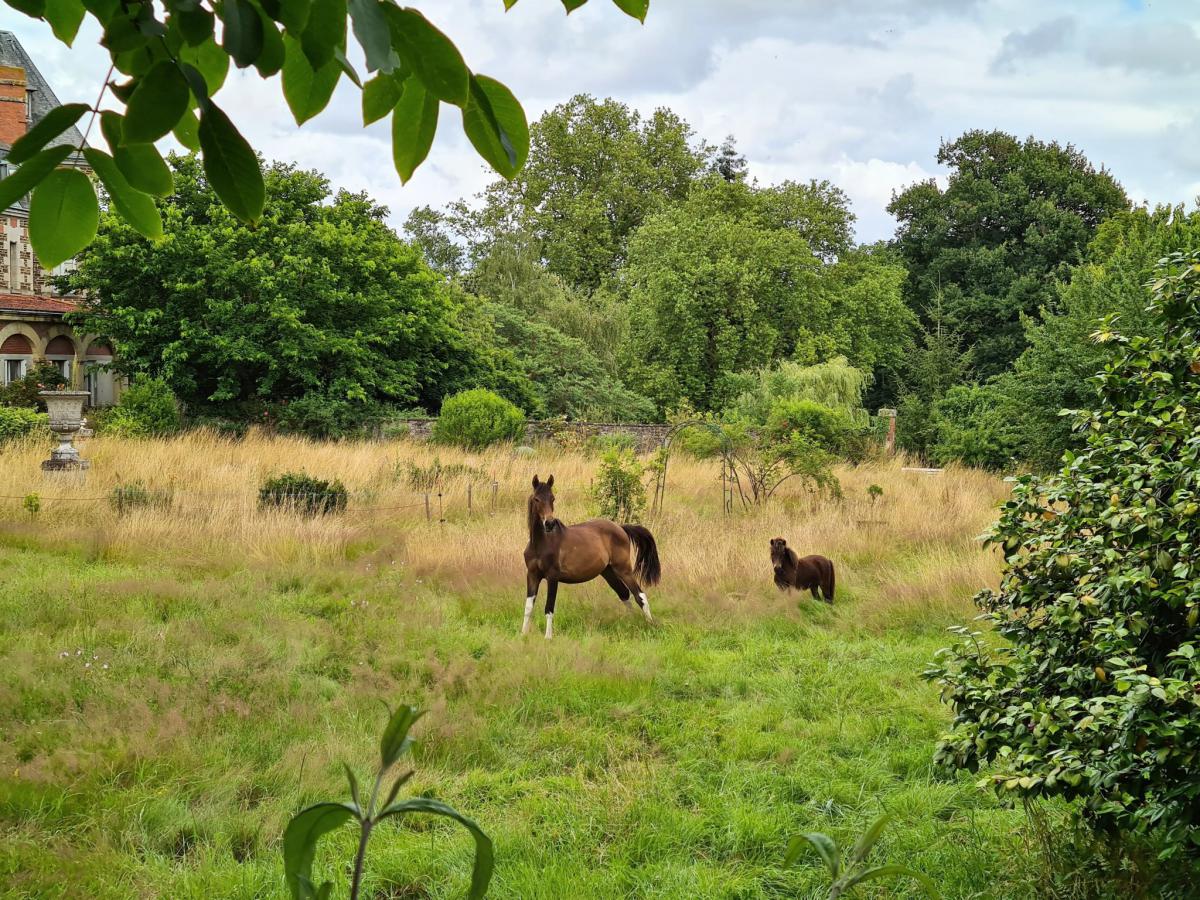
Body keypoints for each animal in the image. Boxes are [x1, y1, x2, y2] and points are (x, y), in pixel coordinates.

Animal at [520, 475, 662, 638]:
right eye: (536, 499)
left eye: (552, 498)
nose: (549, 523)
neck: (540, 544)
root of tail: (621, 528)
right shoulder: (532, 575)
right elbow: (528, 607)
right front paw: (523, 634)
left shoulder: (552, 577)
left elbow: (549, 608)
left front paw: (548, 637)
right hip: (608, 572)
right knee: (625, 594)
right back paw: (632, 623)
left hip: (623, 570)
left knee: (640, 595)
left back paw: (650, 625)